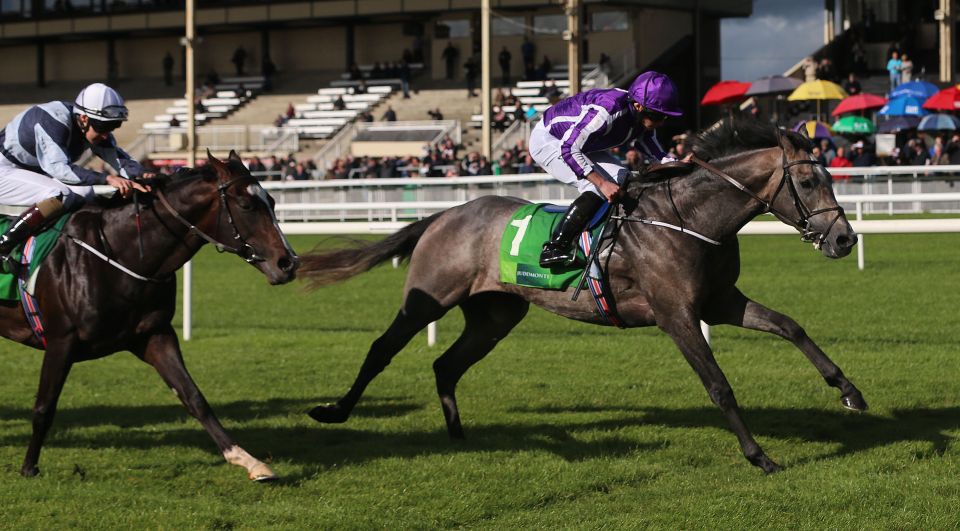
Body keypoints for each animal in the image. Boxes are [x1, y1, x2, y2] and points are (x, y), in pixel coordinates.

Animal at [0, 153, 298, 482]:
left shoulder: (154, 335)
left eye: (272, 201)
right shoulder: (60, 341)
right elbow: (44, 407)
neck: (119, 254)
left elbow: (193, 397)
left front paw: (248, 460)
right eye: (246, 205)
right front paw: (29, 467)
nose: (288, 263)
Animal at [302, 121, 872, 474]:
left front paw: (849, 392)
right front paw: (759, 456)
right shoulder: (676, 315)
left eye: (829, 175)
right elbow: (719, 385)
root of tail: (445, 214)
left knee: (446, 364)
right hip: (428, 299)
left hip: (495, 316)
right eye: (806, 181)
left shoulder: (718, 302)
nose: (845, 239)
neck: (687, 218)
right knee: (382, 349)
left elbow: (790, 325)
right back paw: (334, 411)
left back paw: (460, 435)